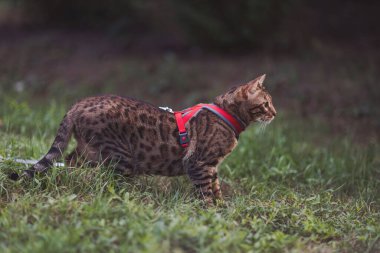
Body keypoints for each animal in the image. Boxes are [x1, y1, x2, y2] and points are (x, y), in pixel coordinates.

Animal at [15, 74, 276, 205]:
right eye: (266, 103)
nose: (275, 113)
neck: (229, 115)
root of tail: (80, 103)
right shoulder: (198, 163)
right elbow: (205, 193)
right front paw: (210, 215)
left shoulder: (211, 167)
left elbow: (216, 188)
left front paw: (222, 210)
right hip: (121, 157)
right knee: (104, 181)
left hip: (90, 151)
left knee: (69, 162)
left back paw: (69, 183)